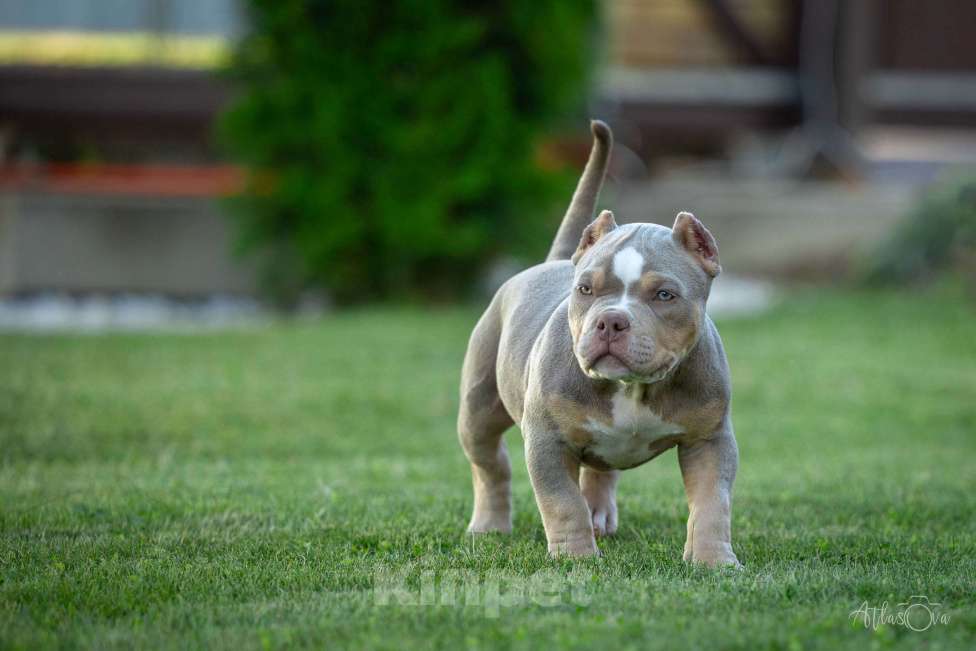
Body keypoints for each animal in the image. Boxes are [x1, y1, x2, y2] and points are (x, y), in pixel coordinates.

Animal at [458, 121, 740, 564]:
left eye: (664, 295)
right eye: (586, 289)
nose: (610, 321)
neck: (631, 387)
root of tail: (551, 261)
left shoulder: (709, 441)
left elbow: (712, 503)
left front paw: (713, 561)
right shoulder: (547, 442)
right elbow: (561, 502)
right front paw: (576, 558)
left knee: (598, 467)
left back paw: (600, 515)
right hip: (479, 408)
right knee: (490, 465)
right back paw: (489, 525)